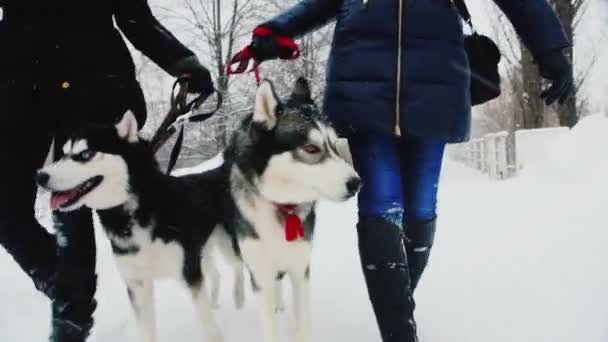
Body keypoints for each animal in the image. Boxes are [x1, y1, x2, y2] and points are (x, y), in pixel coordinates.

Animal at [215, 78, 360, 342]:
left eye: (334, 146)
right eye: (311, 148)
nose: (356, 183)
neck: (282, 207)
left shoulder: (300, 268)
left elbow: (303, 320)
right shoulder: (260, 273)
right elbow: (268, 325)